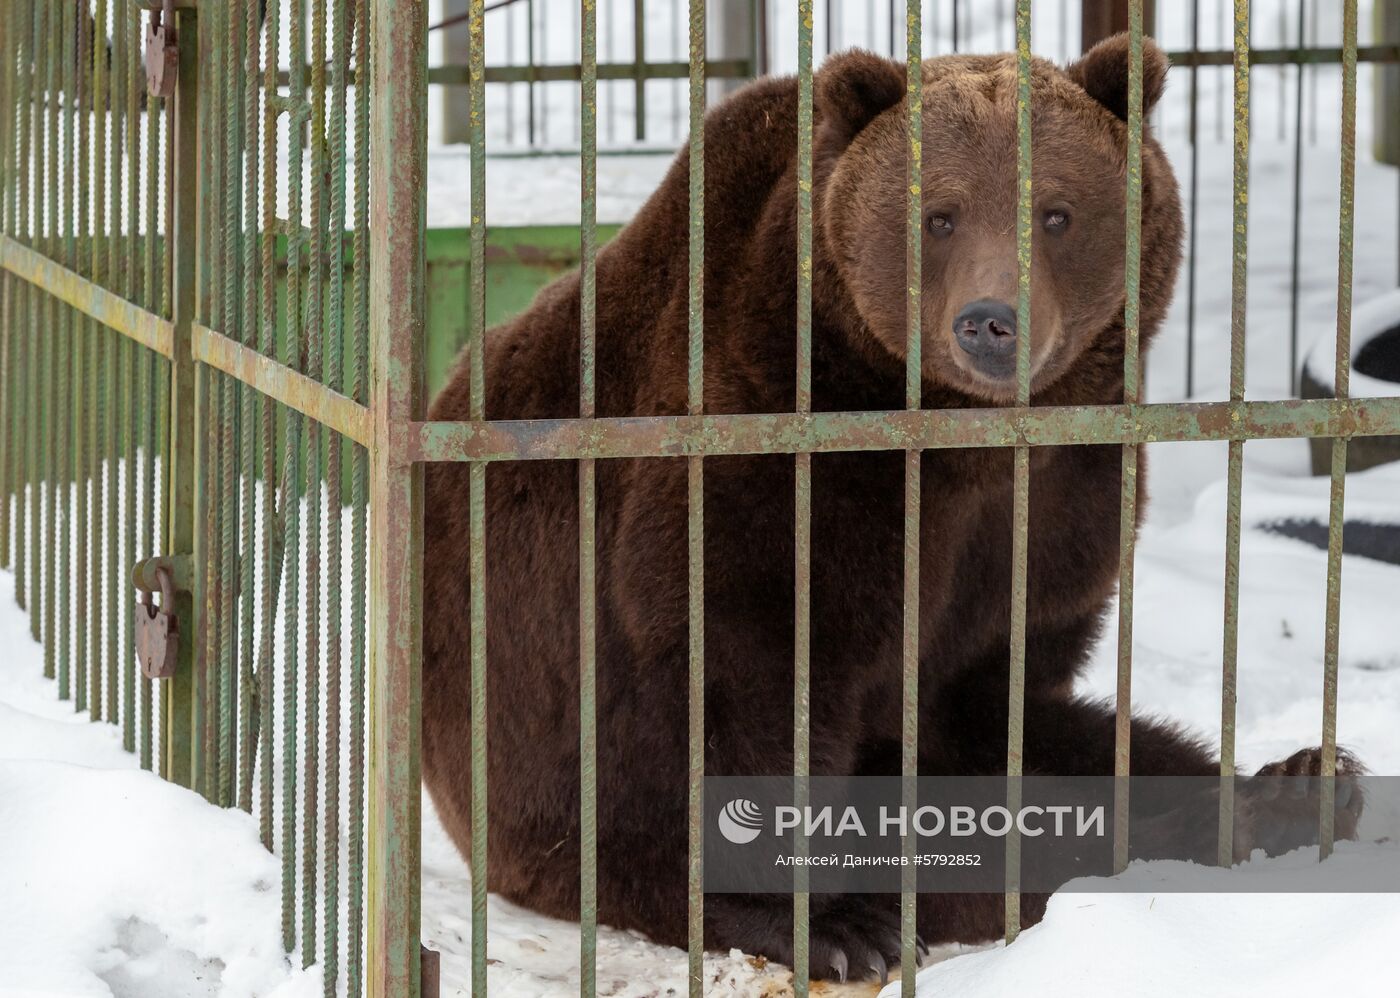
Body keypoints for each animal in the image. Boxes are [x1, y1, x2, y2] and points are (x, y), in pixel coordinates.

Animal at [420, 36, 1360, 979]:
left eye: (1056, 212)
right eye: (940, 216)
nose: (991, 322)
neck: (953, 437)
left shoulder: (1060, 496)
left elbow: (1009, 687)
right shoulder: (774, 449)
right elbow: (743, 671)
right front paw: (831, 921)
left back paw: (1305, 781)